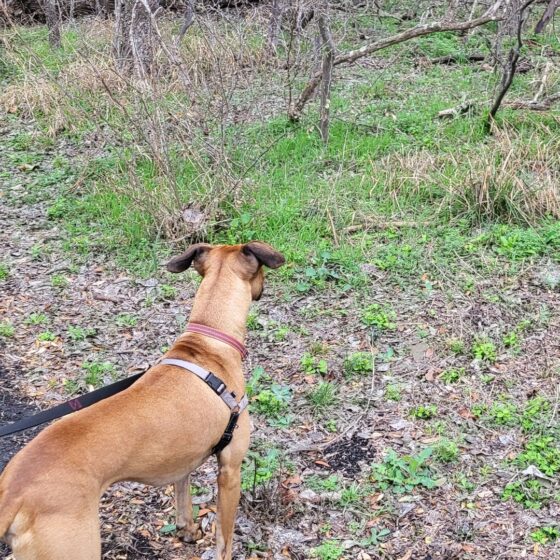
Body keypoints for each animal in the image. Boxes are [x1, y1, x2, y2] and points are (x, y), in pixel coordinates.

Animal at [0, 242, 284, 560]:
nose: (263, 289)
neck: (210, 340)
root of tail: (13, 492)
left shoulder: (183, 460)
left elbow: (183, 502)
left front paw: (187, 532)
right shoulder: (230, 469)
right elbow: (224, 540)